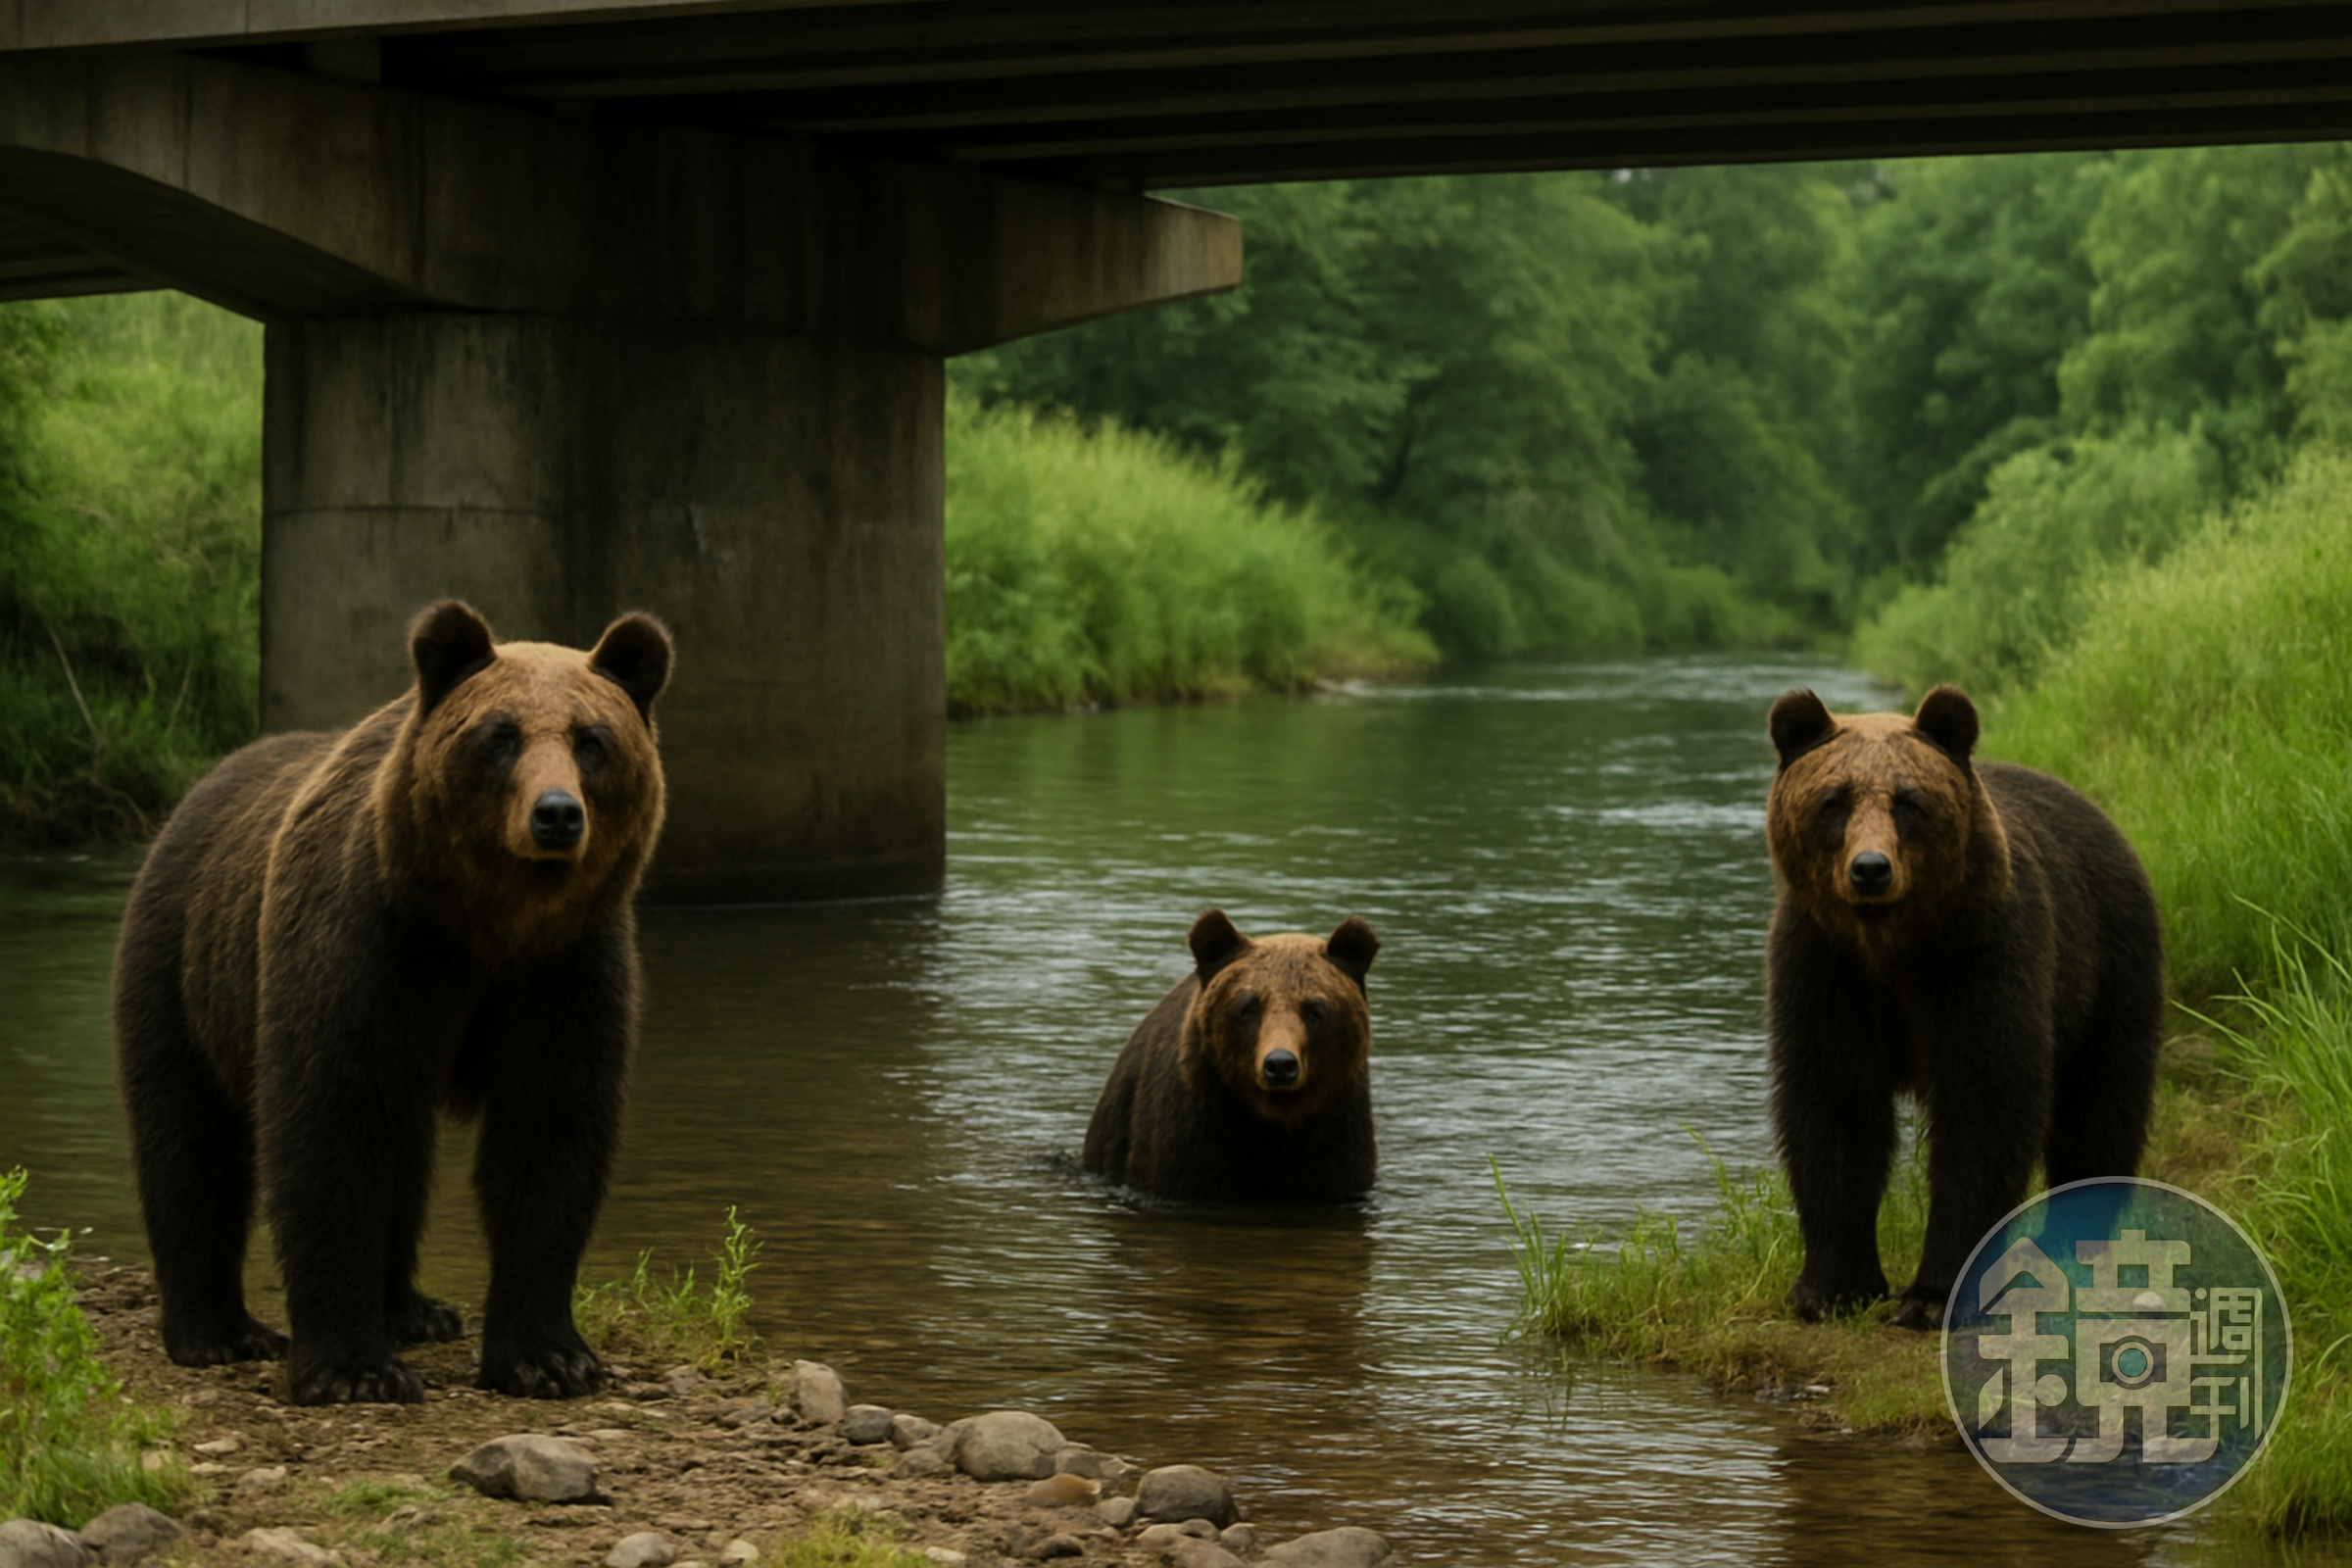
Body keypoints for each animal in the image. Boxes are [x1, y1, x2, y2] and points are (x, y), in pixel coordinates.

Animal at [110, 599, 672, 1404]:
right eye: (500, 736)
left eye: (591, 740)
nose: (557, 814)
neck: (483, 920)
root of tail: (202, 786)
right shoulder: (367, 948)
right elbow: (331, 1128)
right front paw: (355, 1369)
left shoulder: (563, 970)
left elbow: (550, 1136)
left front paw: (550, 1358)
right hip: (184, 965)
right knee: (190, 1141)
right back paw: (218, 1331)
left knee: (404, 1152)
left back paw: (414, 1310)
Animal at [1081, 909, 1381, 1204]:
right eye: (1248, 1007)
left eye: (1314, 1009)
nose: (1280, 1064)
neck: (1275, 1118)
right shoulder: (1195, 1129)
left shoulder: (1337, 1131)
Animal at [1763, 684, 2164, 1330]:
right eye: (1833, 801)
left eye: (1909, 801)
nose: (1870, 869)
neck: (1891, 944)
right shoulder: (1825, 970)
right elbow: (1833, 1105)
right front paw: (1833, 1287)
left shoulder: (1980, 961)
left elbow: (1983, 1109)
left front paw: (1936, 1295)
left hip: (2108, 966)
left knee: (2100, 1105)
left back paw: (2072, 1241)